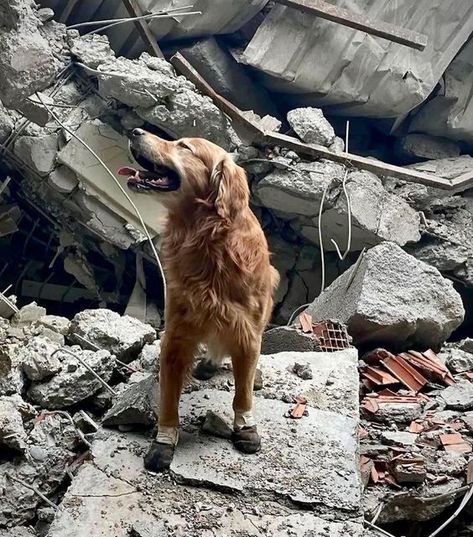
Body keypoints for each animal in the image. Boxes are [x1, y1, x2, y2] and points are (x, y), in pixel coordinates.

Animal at [123, 127, 278, 472]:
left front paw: (245, 427)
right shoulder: (177, 334)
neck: (208, 241)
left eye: (184, 147)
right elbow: (169, 397)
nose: (135, 131)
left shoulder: (247, 333)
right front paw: (164, 440)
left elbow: (243, 393)